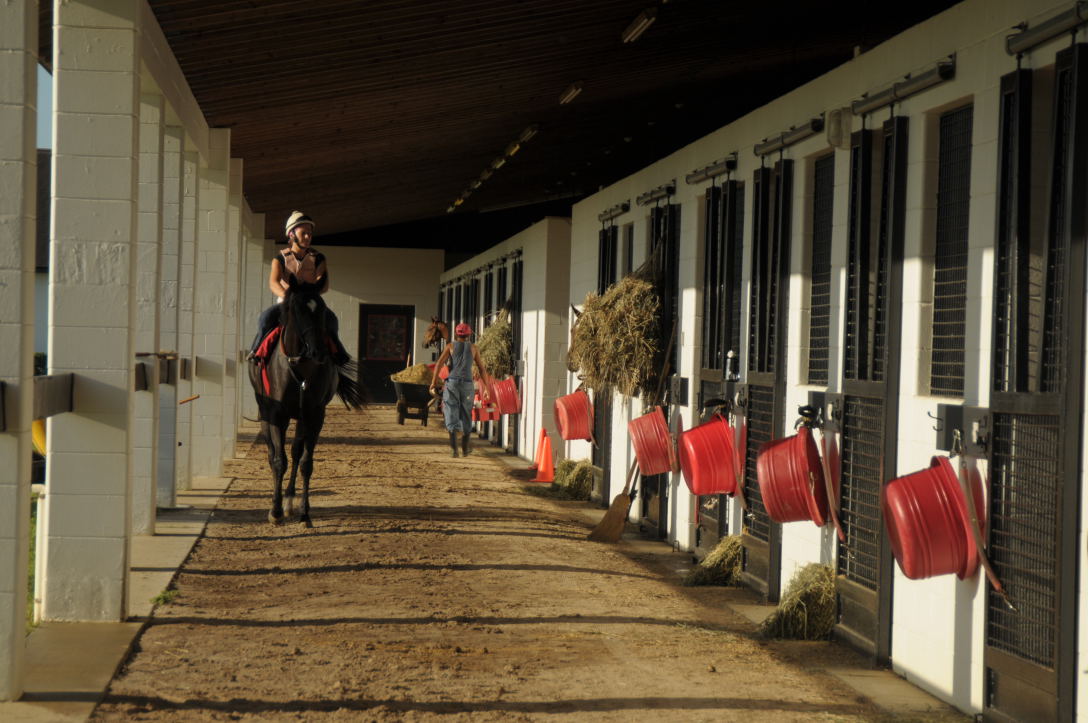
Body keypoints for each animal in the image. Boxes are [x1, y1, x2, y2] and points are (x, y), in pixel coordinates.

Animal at [248, 280, 363, 524]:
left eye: (322, 311)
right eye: (298, 310)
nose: (318, 350)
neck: (299, 366)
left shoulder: (314, 415)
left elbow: (305, 462)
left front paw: (304, 512)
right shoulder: (277, 415)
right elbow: (279, 460)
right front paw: (275, 511)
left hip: (301, 417)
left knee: (295, 451)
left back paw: (290, 501)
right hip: (265, 412)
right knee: (272, 453)